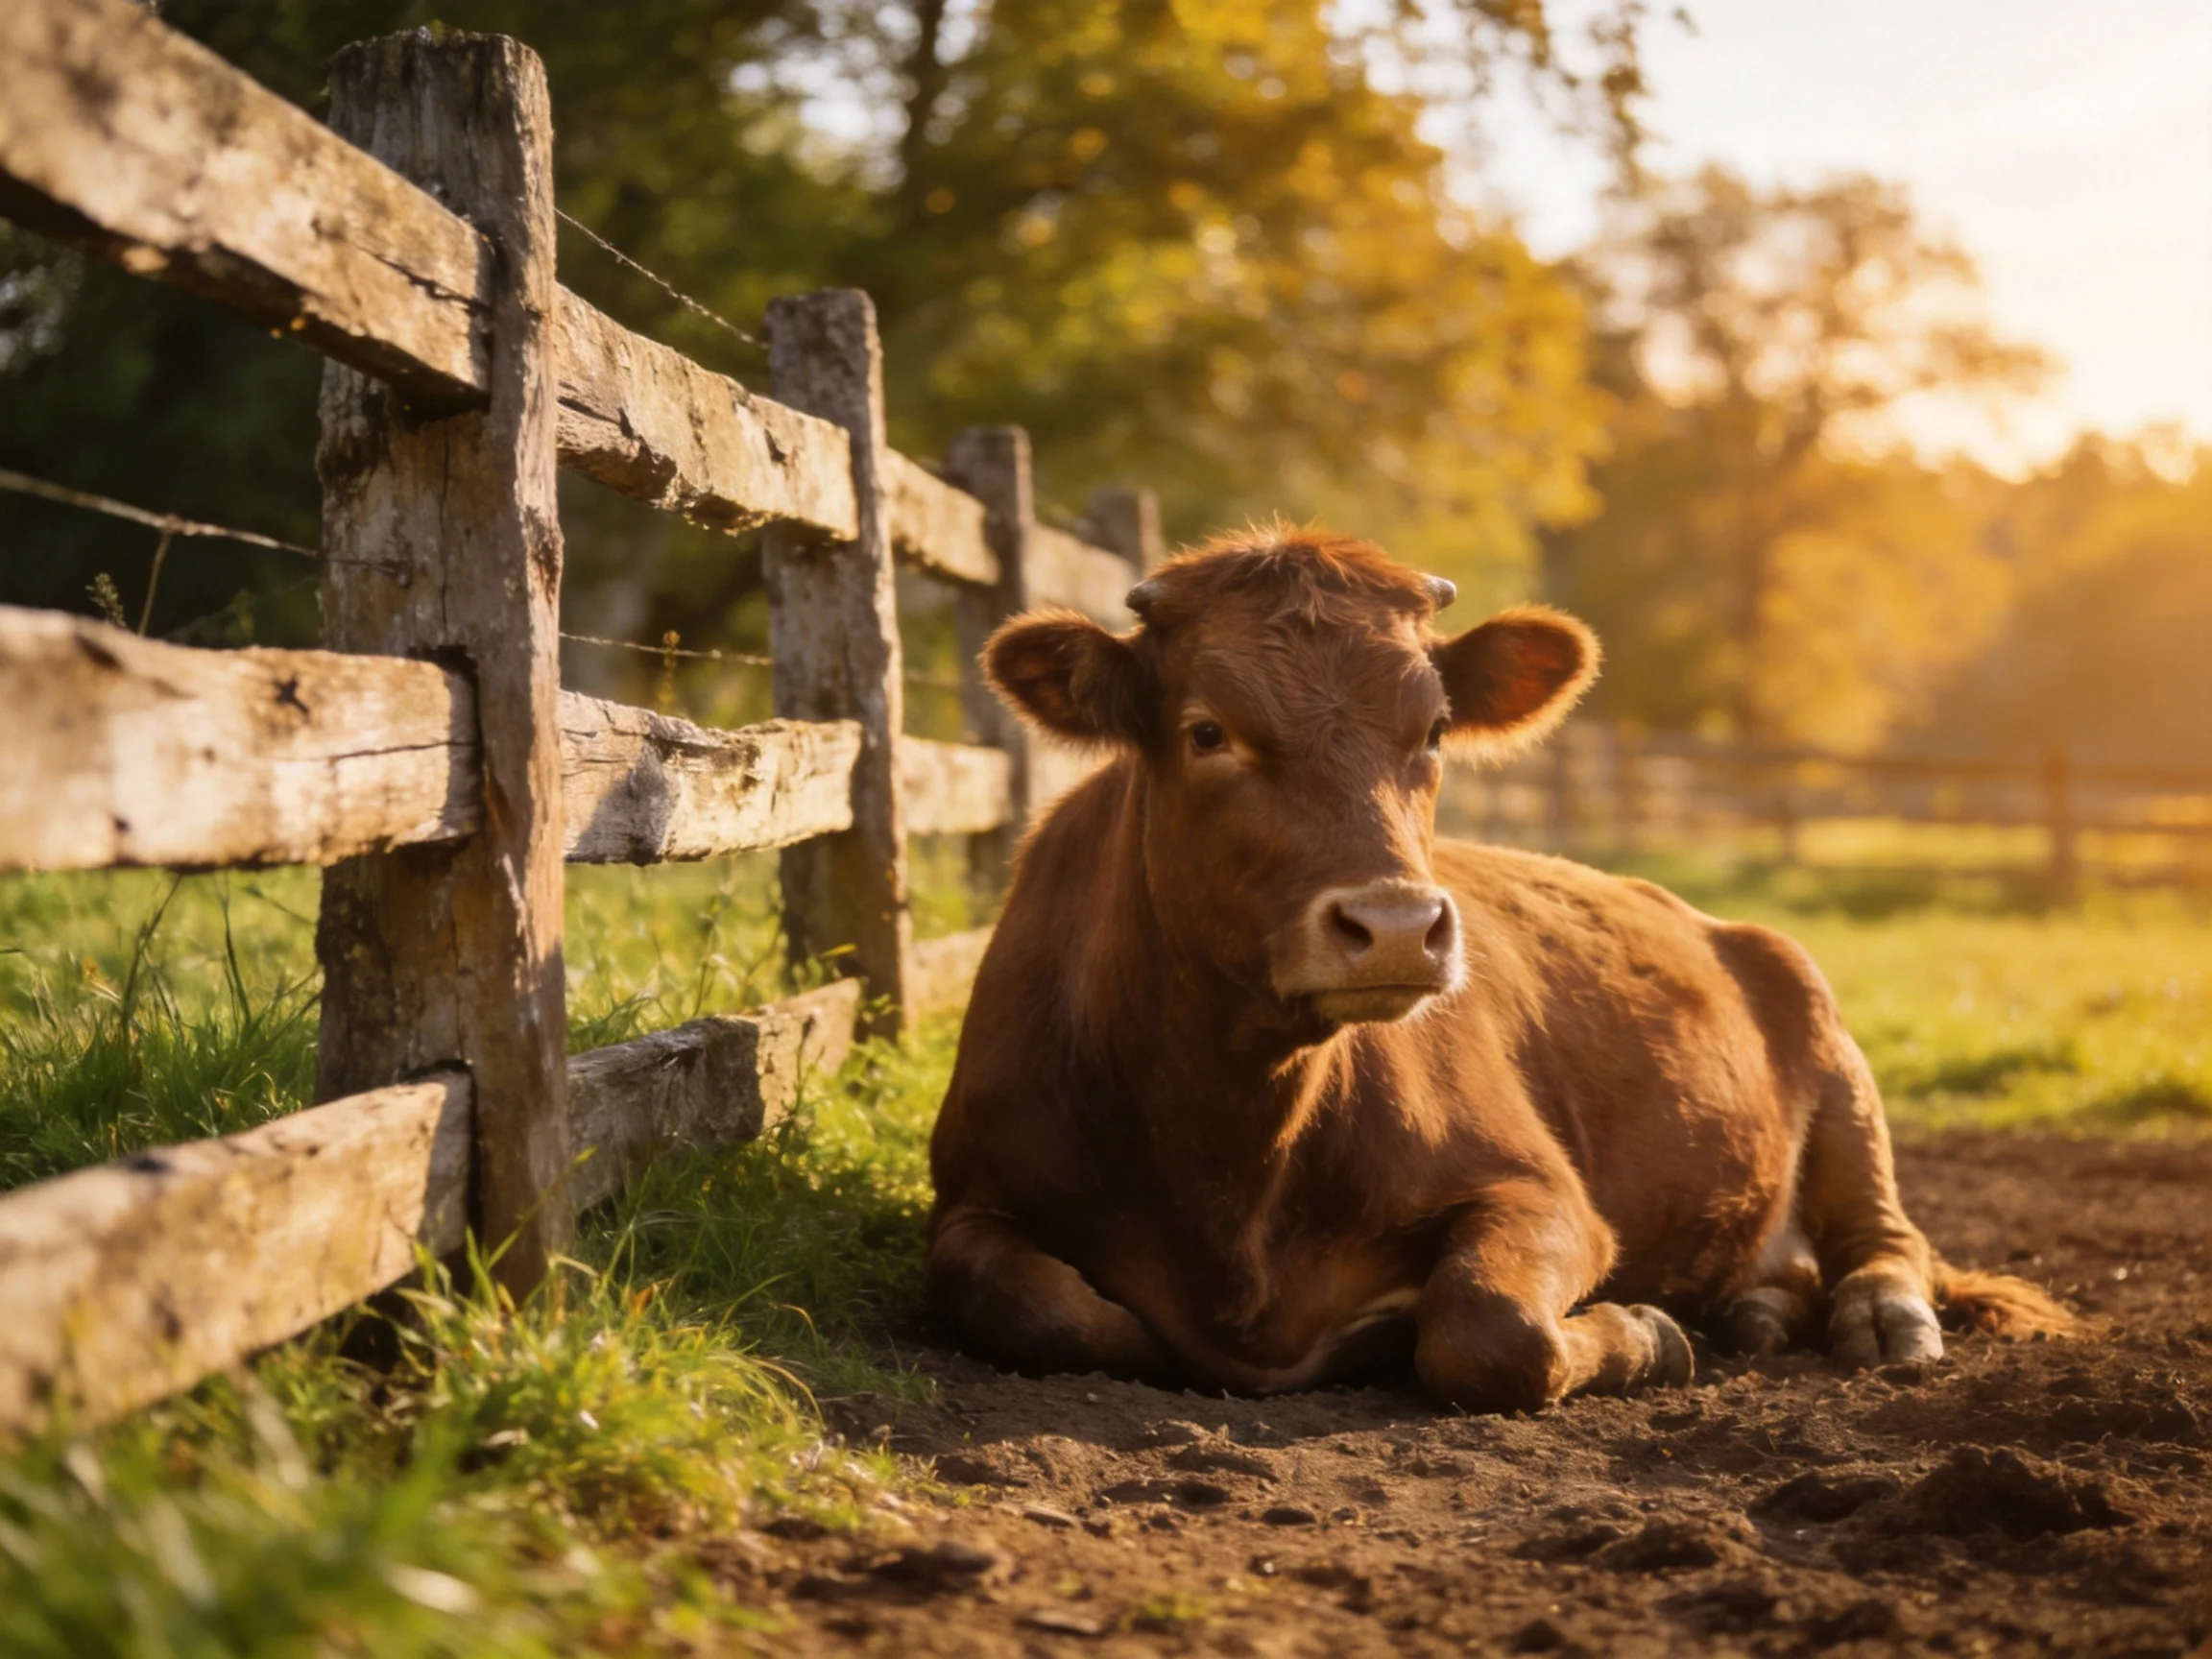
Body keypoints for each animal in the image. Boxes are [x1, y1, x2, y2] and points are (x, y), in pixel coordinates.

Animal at [925, 530, 2070, 1413]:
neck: (1234, 1157)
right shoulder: (974, 1195)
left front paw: (1644, 1334)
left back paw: (1876, 1315)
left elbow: (1489, 1329)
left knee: (1887, 1233)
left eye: (1433, 729)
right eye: (1207, 731)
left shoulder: (1541, 1190)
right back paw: (1757, 1306)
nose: (1395, 925)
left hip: (1838, 1068)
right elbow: (1043, 1309)